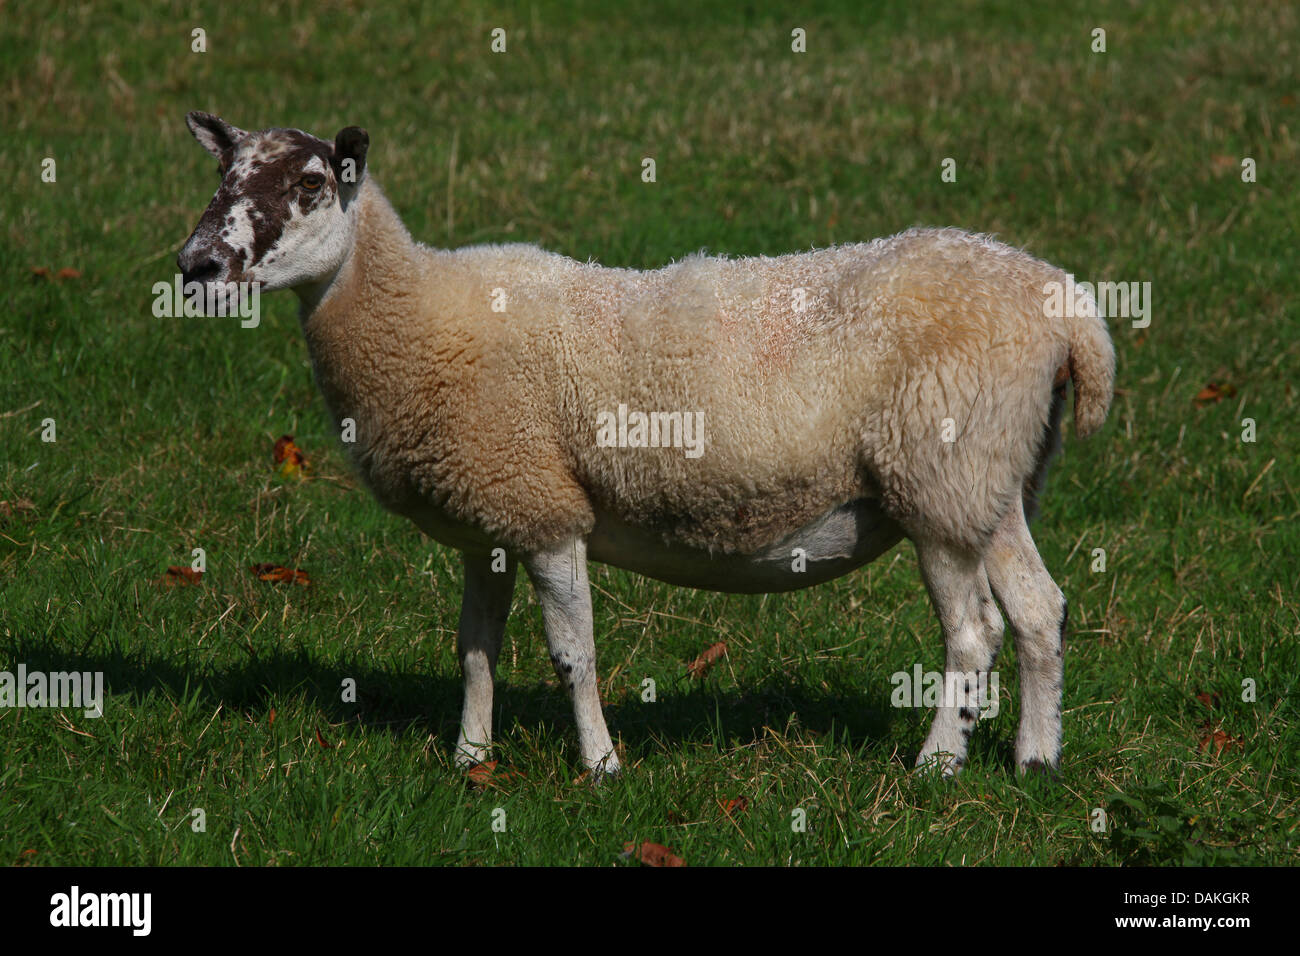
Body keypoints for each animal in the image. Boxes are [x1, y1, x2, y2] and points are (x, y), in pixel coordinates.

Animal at [177, 112, 1115, 780]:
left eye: (309, 184)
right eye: (222, 176)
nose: (196, 266)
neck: (416, 317)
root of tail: (1067, 309)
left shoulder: (545, 508)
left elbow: (572, 654)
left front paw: (601, 766)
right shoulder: (492, 515)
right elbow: (475, 652)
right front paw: (470, 760)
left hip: (940, 477)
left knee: (974, 633)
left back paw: (937, 767)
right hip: (996, 481)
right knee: (1039, 611)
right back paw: (1035, 762)